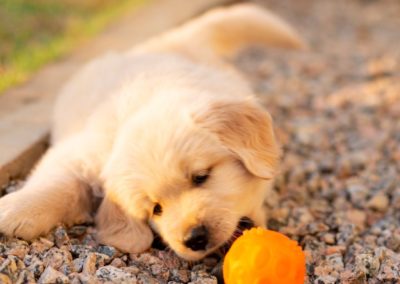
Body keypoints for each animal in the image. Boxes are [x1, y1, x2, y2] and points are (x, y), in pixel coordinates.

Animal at [0, 3, 304, 260]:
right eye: (155, 208)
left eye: (201, 177)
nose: (195, 238)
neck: (151, 97)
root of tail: (166, 42)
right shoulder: (80, 152)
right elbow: (59, 181)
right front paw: (16, 209)